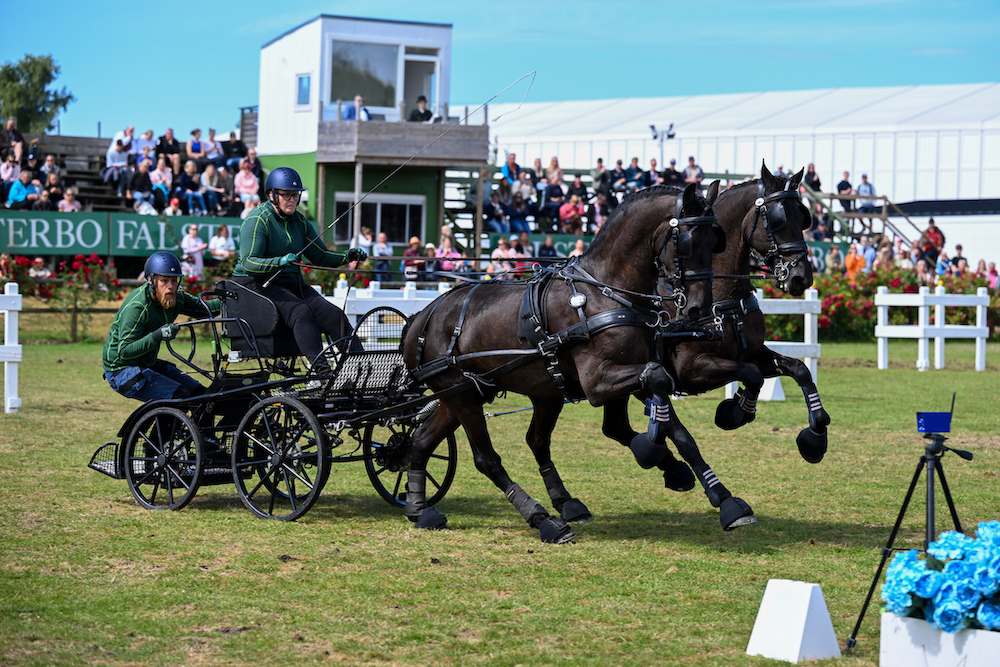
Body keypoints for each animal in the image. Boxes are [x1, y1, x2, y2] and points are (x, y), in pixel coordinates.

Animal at [402, 183, 724, 544]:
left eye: (715, 240)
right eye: (688, 241)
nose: (699, 309)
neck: (605, 293)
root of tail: (421, 317)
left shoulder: (631, 372)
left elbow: (673, 427)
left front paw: (723, 498)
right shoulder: (597, 382)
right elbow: (655, 386)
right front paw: (657, 455)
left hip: (475, 394)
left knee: (425, 441)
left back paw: (420, 509)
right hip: (463, 395)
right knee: (487, 459)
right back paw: (543, 519)